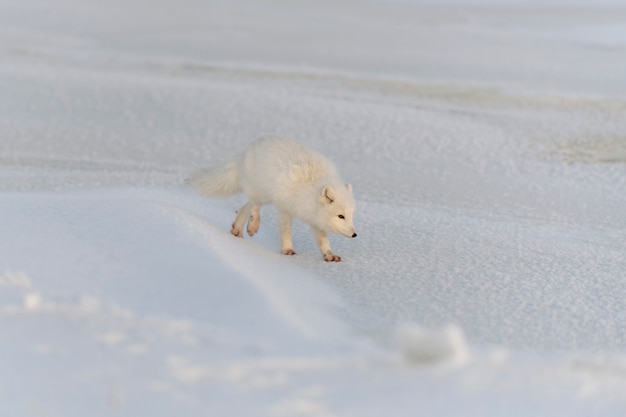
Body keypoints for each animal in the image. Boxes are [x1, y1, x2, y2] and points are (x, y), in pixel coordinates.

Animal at [185, 136, 356, 260]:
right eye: (341, 216)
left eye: (350, 216)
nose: (355, 235)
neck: (311, 187)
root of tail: (247, 148)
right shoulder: (284, 206)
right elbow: (285, 231)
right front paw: (287, 250)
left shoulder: (313, 217)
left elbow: (323, 239)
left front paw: (329, 255)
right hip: (263, 193)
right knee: (253, 203)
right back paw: (252, 225)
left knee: (247, 205)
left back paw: (237, 229)